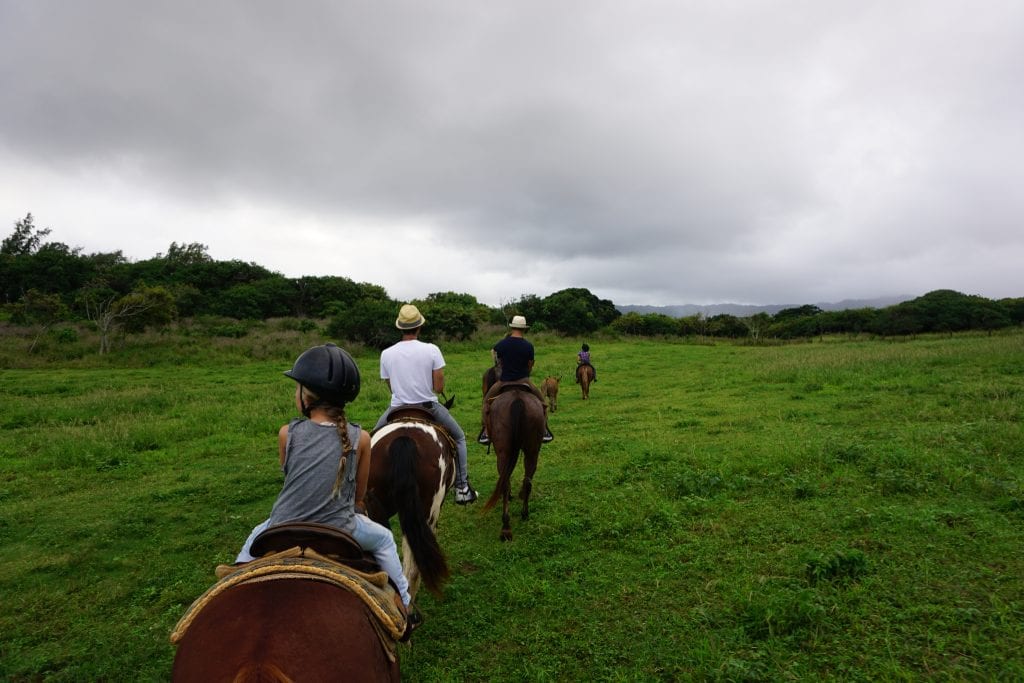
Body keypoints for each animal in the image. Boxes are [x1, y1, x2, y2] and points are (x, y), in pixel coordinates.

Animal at [483, 385, 548, 540]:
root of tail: (518, 400)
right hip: (532, 450)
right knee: (527, 480)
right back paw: (524, 513)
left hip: (503, 453)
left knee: (505, 483)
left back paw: (506, 527)